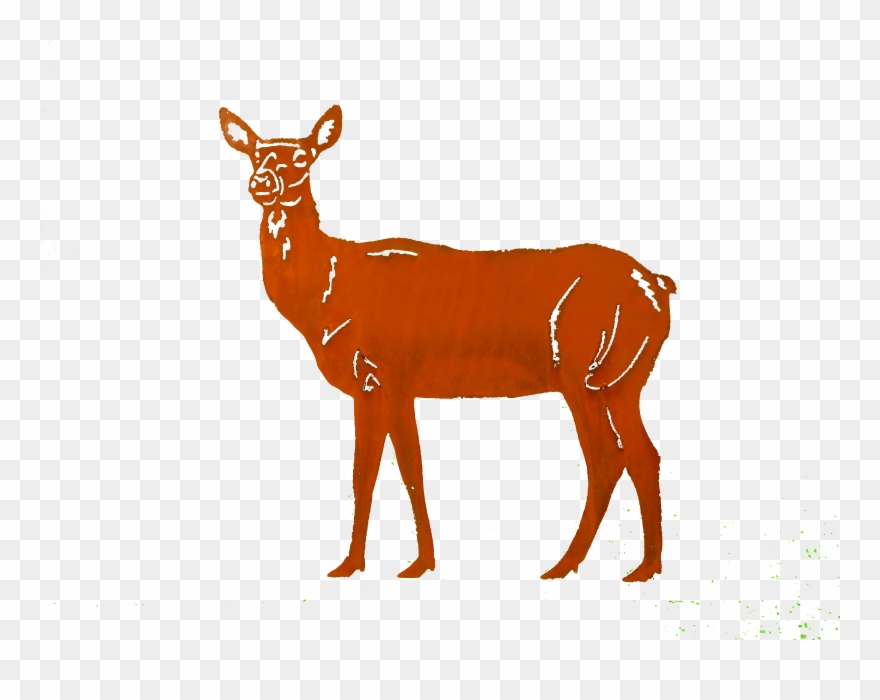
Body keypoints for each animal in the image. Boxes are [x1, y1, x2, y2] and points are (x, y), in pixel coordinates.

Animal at [219, 105, 677, 582]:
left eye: (302, 158)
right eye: (255, 154)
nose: (262, 183)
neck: (327, 293)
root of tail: (659, 286)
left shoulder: (390, 372)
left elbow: (401, 468)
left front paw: (415, 563)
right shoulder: (378, 386)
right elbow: (373, 470)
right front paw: (356, 563)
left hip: (580, 371)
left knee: (606, 457)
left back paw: (564, 565)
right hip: (623, 379)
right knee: (644, 455)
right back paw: (645, 567)